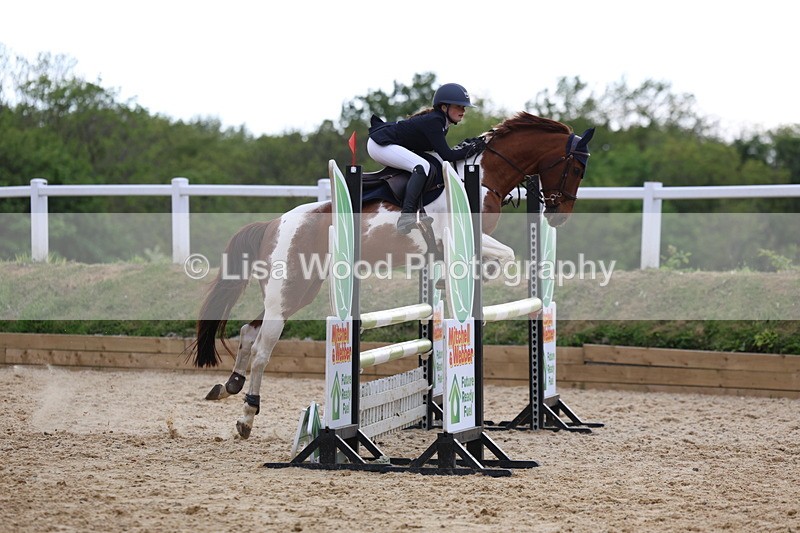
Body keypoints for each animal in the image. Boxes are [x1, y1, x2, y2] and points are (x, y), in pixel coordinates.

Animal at [191, 112, 595, 438]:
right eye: (576, 168)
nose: (558, 215)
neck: (483, 176)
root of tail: (274, 224)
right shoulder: (464, 237)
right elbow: (504, 256)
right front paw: (456, 281)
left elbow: (501, 258)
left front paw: (448, 283)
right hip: (288, 291)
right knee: (262, 349)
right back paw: (247, 415)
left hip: (299, 290)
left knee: (248, 332)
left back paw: (228, 386)